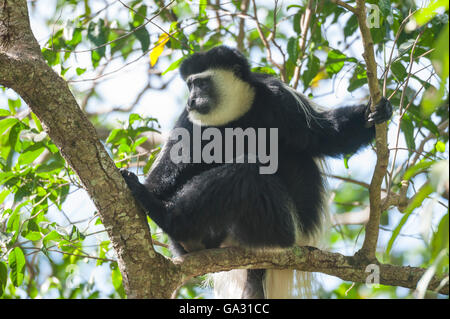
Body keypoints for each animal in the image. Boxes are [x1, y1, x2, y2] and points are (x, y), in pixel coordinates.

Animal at [121, 45, 392, 300]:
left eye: (201, 83)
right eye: (189, 85)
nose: (191, 100)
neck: (239, 110)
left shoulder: (280, 99)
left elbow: (325, 136)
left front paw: (374, 113)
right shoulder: (191, 121)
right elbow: (175, 162)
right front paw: (150, 187)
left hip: (281, 226)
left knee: (248, 171)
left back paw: (165, 215)